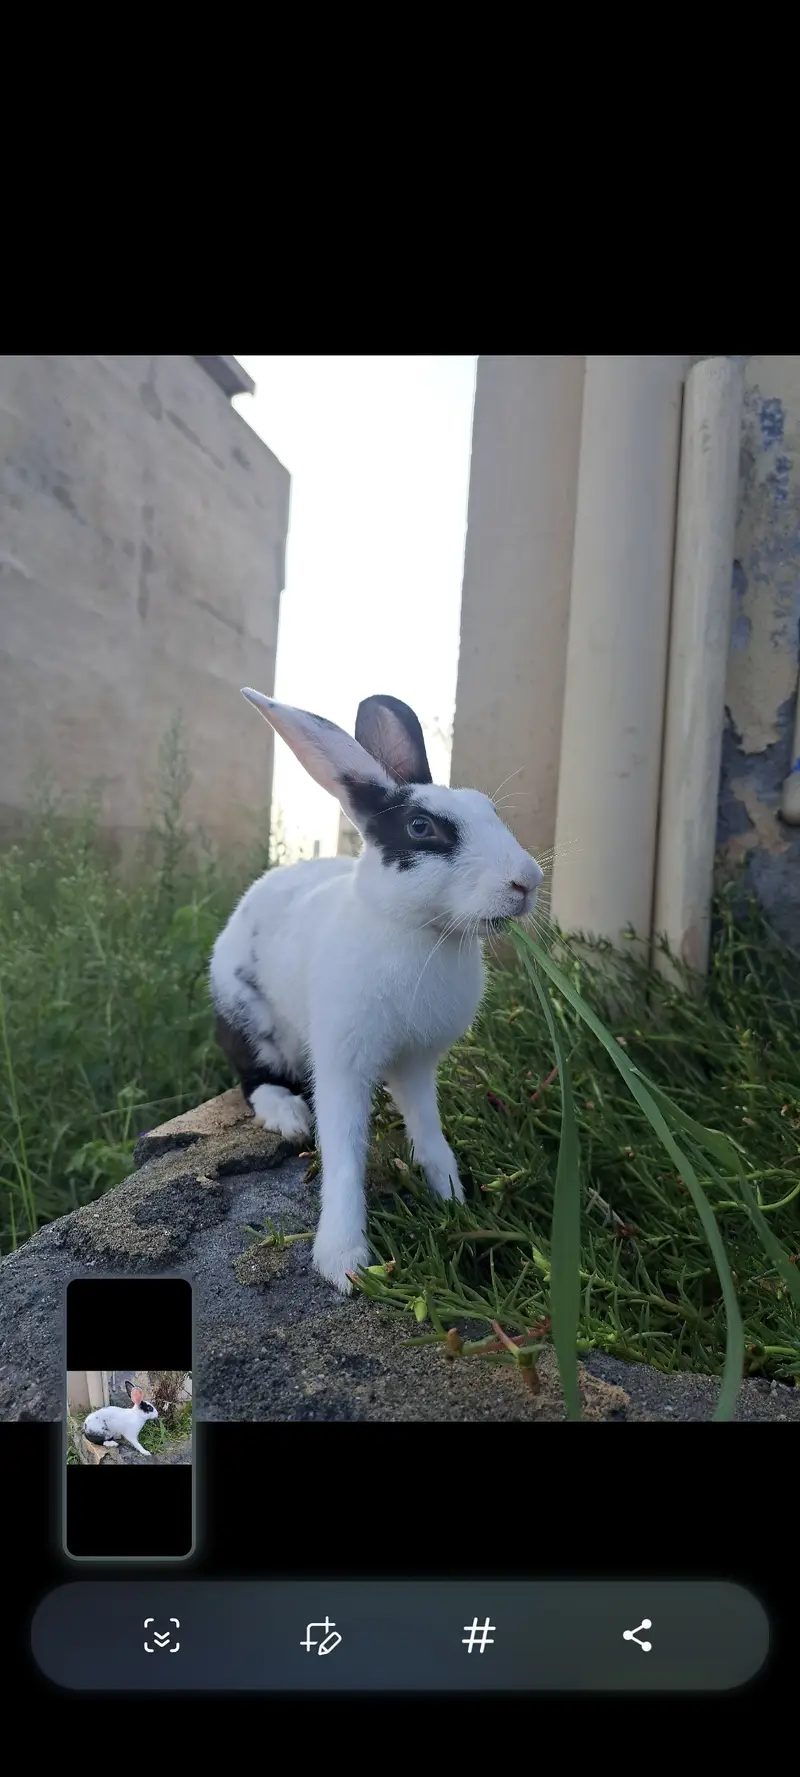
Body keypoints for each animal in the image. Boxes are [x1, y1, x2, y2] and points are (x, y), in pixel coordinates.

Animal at [209, 689, 544, 1295]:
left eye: (490, 809)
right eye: (421, 828)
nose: (526, 882)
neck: (421, 931)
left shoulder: (418, 1064)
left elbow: (430, 1133)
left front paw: (453, 1200)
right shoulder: (343, 1062)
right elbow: (344, 1155)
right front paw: (344, 1264)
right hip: (248, 1021)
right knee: (252, 1078)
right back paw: (287, 1114)